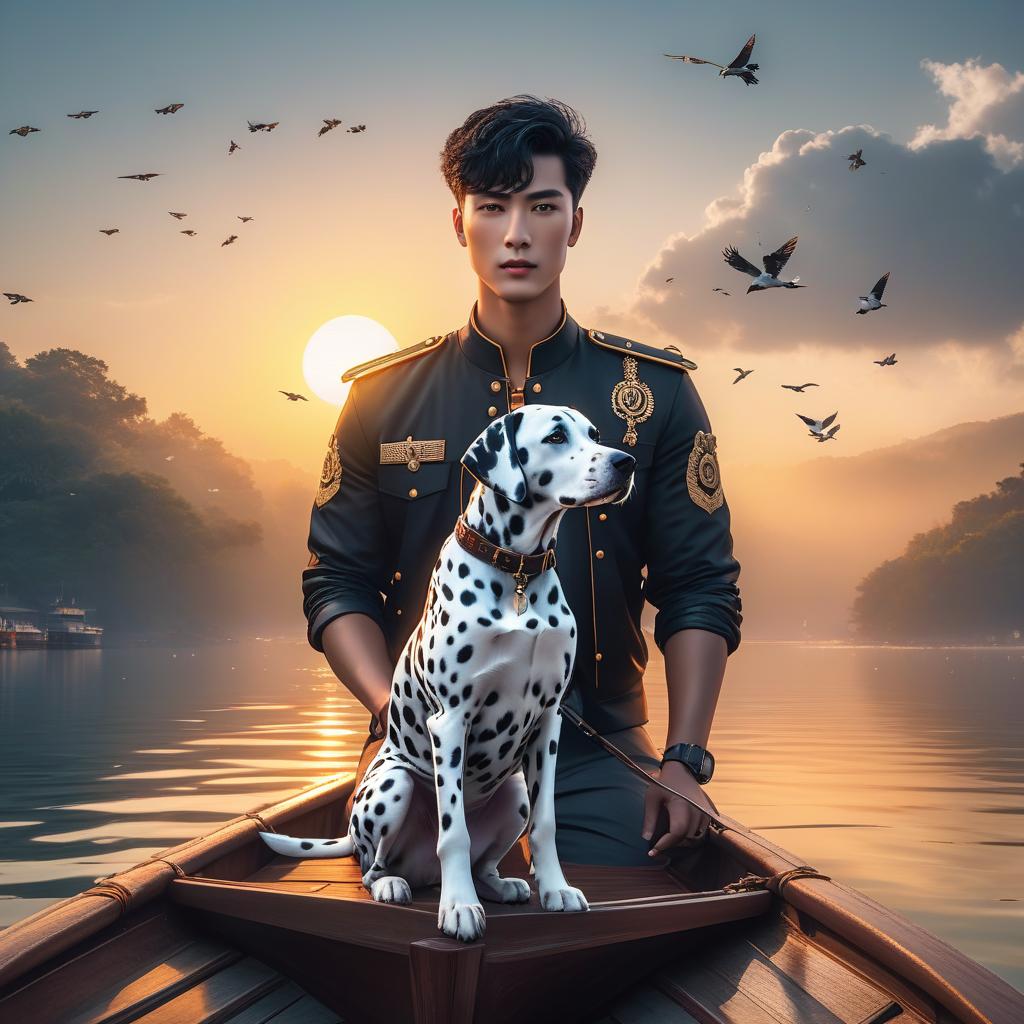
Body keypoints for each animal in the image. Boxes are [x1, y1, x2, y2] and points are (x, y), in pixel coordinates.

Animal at [260, 403, 630, 937]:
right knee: (373, 865)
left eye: (595, 434)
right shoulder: (451, 719)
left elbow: (546, 824)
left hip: (514, 792)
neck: (518, 573)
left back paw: (499, 885)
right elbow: (453, 831)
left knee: (485, 859)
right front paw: (458, 907)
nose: (626, 463)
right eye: (556, 437)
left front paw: (556, 889)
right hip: (393, 786)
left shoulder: (548, 721)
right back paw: (395, 885)